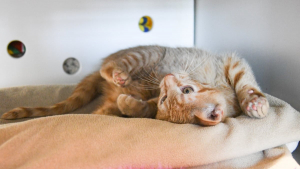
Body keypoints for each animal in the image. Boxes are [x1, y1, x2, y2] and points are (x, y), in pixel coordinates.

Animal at [0, 45, 270, 126]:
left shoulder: (152, 106)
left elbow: (144, 108)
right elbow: (246, 82)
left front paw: (129, 105)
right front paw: (256, 101)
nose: (165, 78)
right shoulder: (230, 62)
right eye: (187, 90)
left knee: (100, 110)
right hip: (146, 53)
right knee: (108, 67)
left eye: (165, 98)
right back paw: (118, 75)